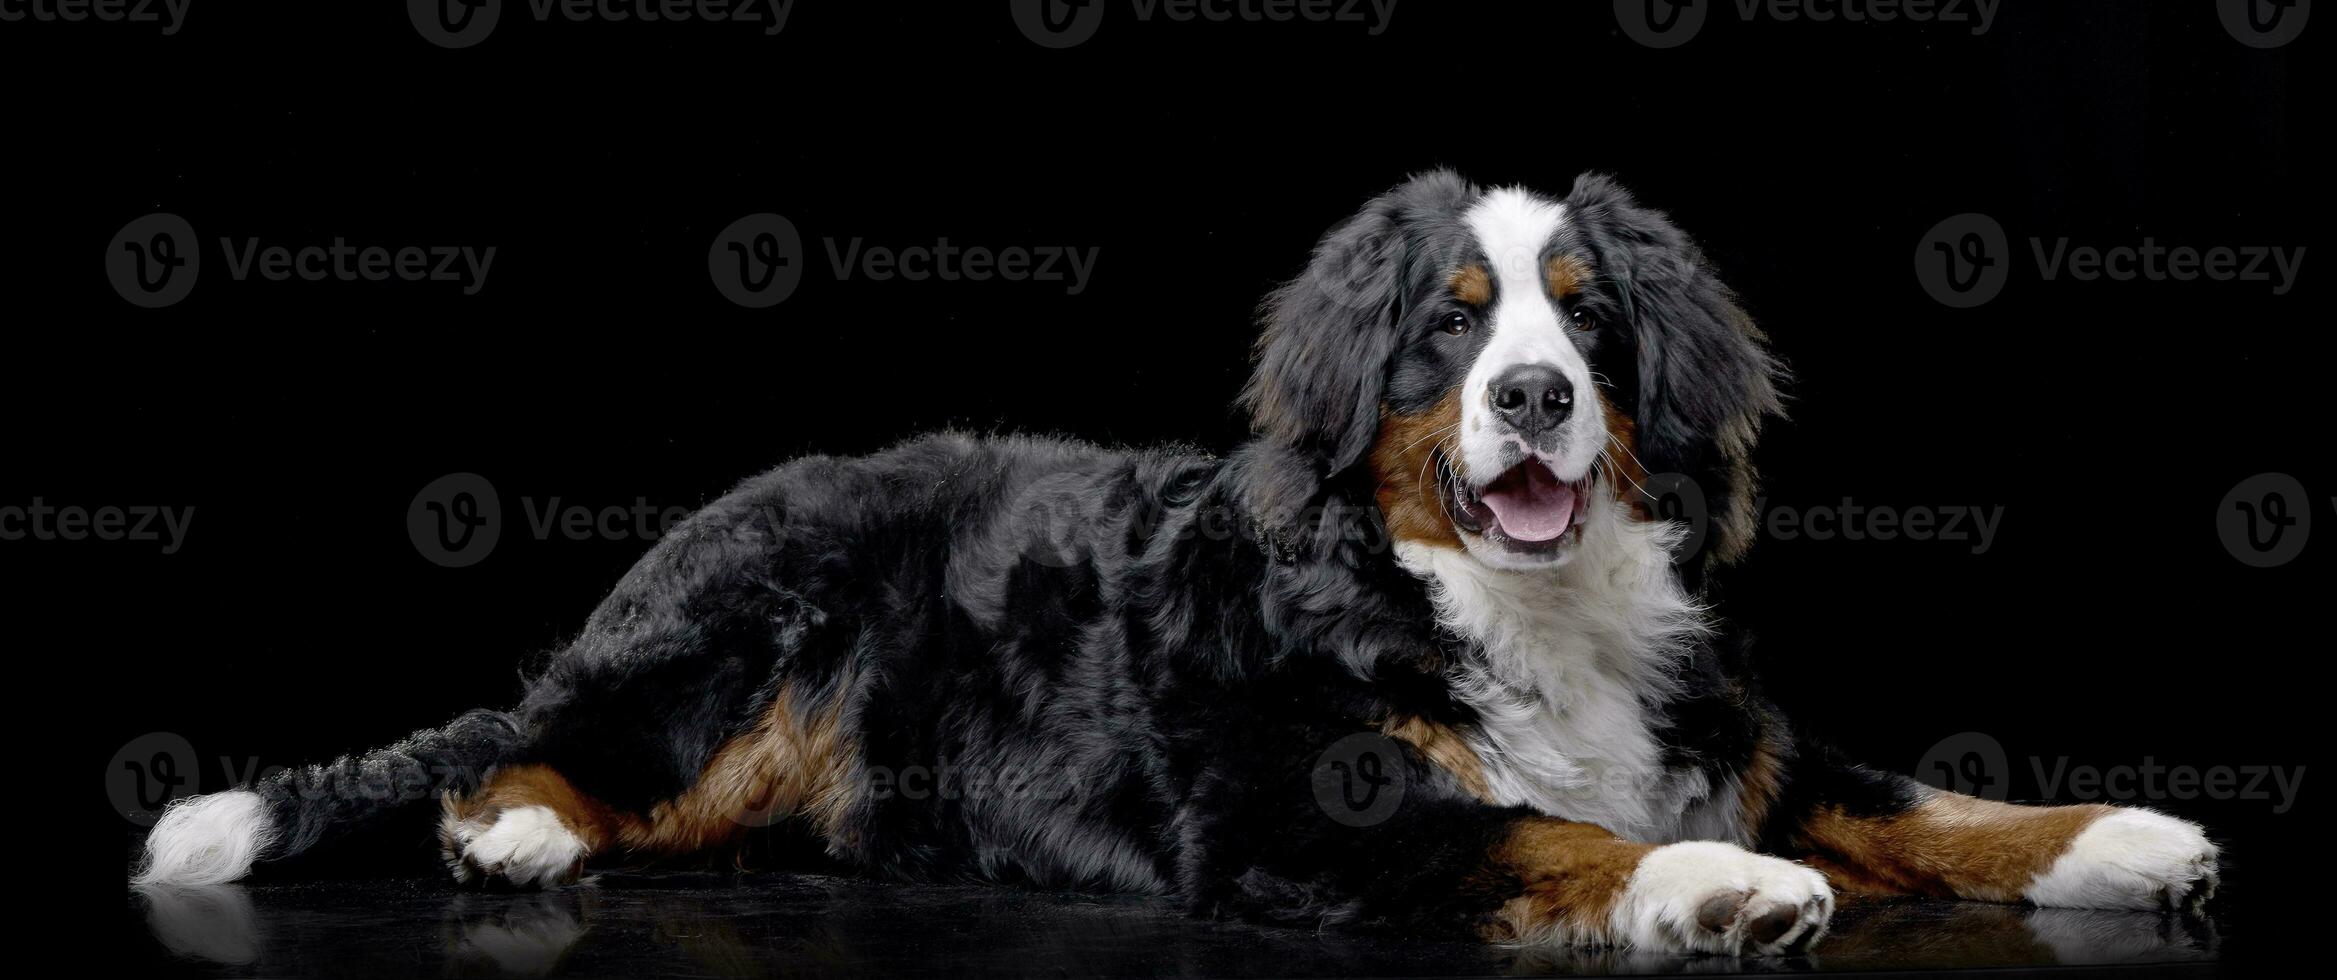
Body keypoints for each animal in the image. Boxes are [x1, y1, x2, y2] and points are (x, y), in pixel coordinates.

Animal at [136, 170, 2215, 958]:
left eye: (1587, 315)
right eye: (1449, 327)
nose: (1537, 397)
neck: (1515, 608)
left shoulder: (1743, 728)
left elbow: (1926, 801)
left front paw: (2120, 835)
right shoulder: (1301, 813)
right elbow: (1549, 828)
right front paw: (1714, 882)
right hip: (733, 641)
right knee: (527, 751)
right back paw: (511, 832)